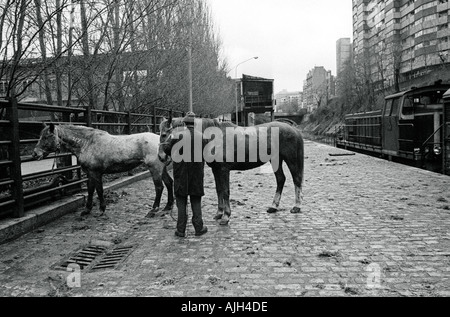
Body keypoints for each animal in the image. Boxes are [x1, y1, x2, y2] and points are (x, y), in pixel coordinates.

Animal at [33, 122, 174, 216]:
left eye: (46, 137)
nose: (35, 154)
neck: (86, 143)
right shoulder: (90, 173)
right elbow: (90, 190)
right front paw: (87, 209)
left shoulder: (96, 173)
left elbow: (99, 190)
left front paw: (102, 209)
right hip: (162, 169)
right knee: (169, 183)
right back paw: (168, 206)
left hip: (155, 169)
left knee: (159, 187)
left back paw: (153, 209)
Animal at [159, 116, 306, 225]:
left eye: (165, 134)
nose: (161, 156)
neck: (214, 137)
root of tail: (293, 129)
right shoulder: (216, 170)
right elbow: (219, 190)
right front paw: (219, 213)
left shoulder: (224, 170)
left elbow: (225, 191)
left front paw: (226, 216)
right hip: (276, 160)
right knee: (281, 179)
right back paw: (273, 207)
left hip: (291, 160)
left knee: (296, 179)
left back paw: (297, 207)